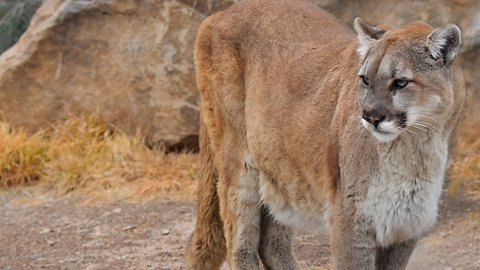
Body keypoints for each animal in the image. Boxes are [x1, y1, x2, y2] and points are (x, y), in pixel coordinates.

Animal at [185, 0, 464, 268]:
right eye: (365, 79)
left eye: (401, 82)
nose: (370, 116)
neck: (415, 148)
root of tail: (221, 13)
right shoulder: (352, 222)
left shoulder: (406, 227)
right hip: (239, 164)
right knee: (240, 244)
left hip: (283, 168)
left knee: (271, 242)